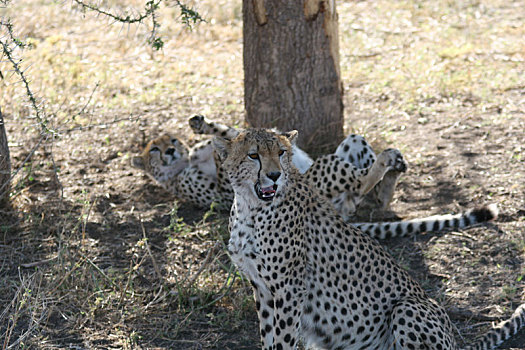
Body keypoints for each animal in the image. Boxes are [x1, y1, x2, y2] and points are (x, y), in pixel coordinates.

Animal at [213, 129, 524, 350]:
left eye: (281, 152)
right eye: (253, 155)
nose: (275, 175)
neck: (250, 207)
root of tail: (454, 343)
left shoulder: (289, 289)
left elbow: (283, 338)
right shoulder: (263, 288)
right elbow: (268, 336)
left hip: (408, 307)